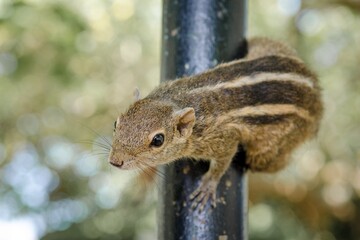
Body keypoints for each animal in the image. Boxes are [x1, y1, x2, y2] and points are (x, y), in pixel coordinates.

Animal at [109, 38, 324, 210]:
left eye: (158, 140)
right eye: (115, 123)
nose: (115, 161)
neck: (175, 99)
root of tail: (317, 100)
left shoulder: (223, 138)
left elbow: (223, 161)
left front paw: (207, 186)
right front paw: (146, 175)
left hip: (270, 148)